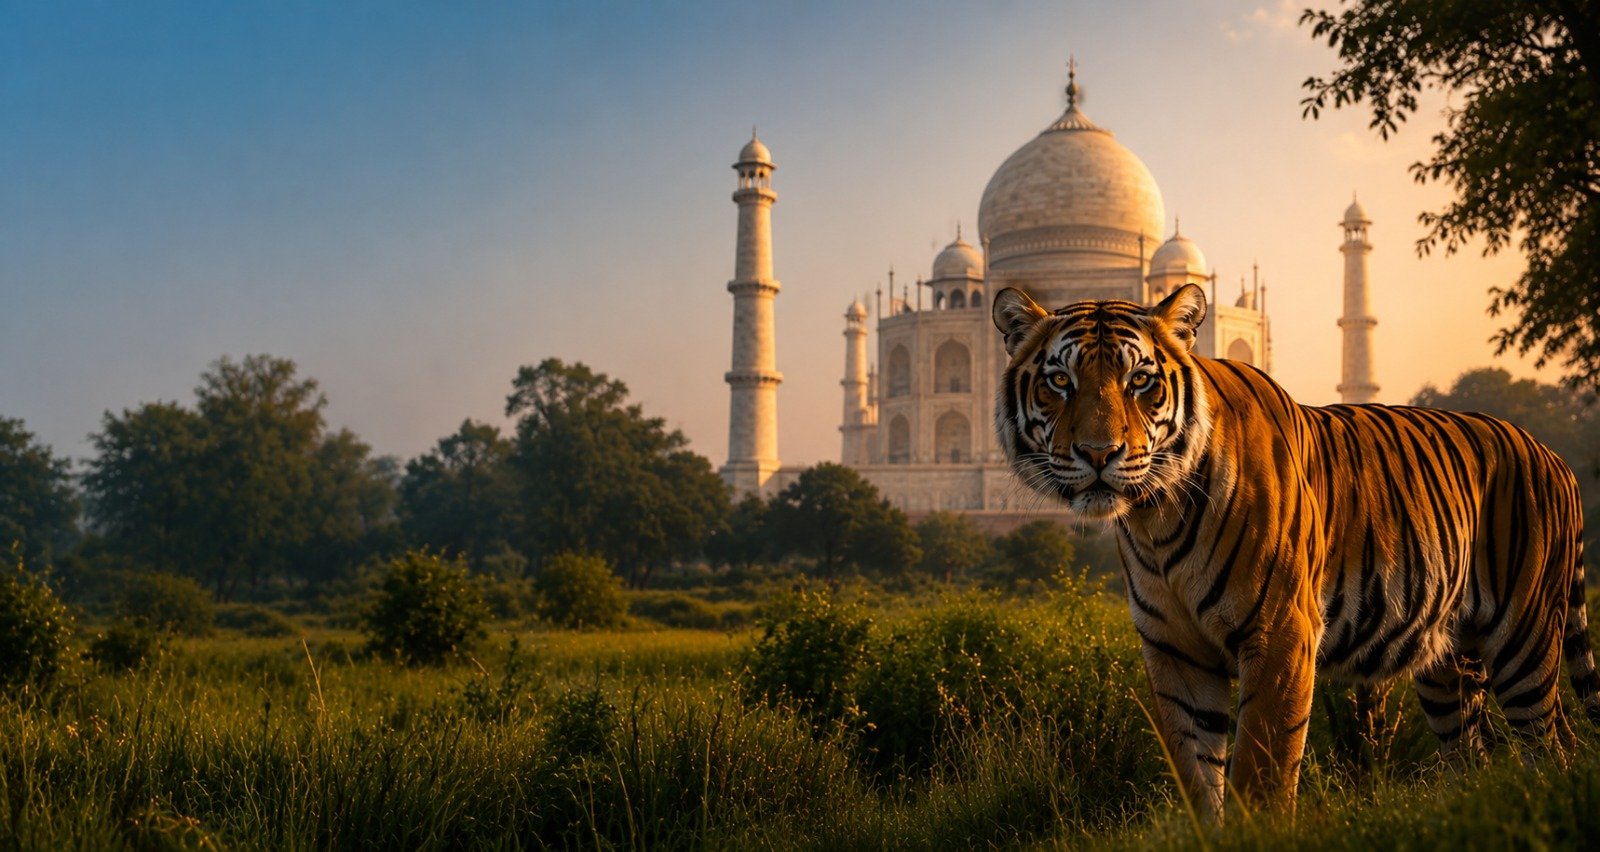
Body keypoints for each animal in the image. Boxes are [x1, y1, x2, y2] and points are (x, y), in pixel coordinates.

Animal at [991, 282, 1598, 818]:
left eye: (1140, 381)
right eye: (1059, 381)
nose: (1099, 453)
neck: (1154, 517)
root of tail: (1554, 455)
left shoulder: (1281, 630)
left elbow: (1260, 772)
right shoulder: (1175, 651)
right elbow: (1197, 775)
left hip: (1523, 640)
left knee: (1554, 746)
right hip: (1448, 663)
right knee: (1474, 756)